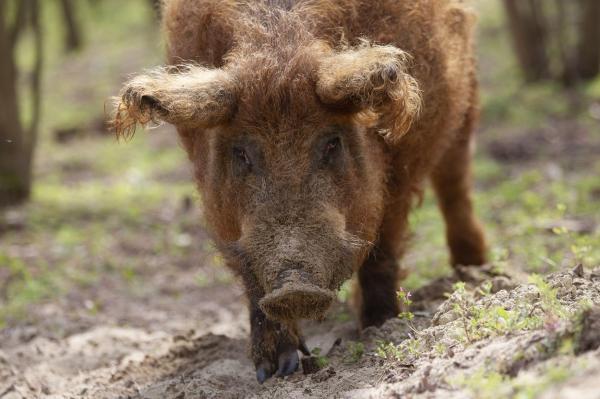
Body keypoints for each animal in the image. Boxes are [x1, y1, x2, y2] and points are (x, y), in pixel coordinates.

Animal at [111, 0, 488, 384]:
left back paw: (474, 268)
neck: (279, 48)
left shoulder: (401, 166)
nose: (294, 288)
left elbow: (383, 249)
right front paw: (274, 372)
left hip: (465, 100)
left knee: (455, 183)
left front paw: (379, 327)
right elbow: (253, 282)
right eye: (241, 153)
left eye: (332, 143)